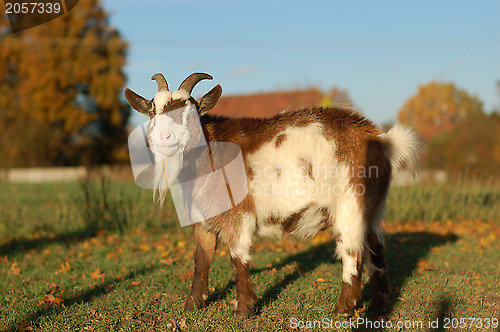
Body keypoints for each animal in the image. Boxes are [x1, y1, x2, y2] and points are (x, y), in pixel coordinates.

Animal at [125, 72, 422, 316]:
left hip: (351, 204)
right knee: (376, 248)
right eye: (152, 112)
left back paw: (343, 309)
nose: (164, 138)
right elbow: (202, 259)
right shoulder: (204, 219)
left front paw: (243, 310)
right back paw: (378, 307)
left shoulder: (239, 216)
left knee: (352, 252)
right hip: (372, 207)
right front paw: (193, 304)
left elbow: (238, 258)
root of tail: (383, 142)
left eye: (191, 112)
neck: (209, 152)